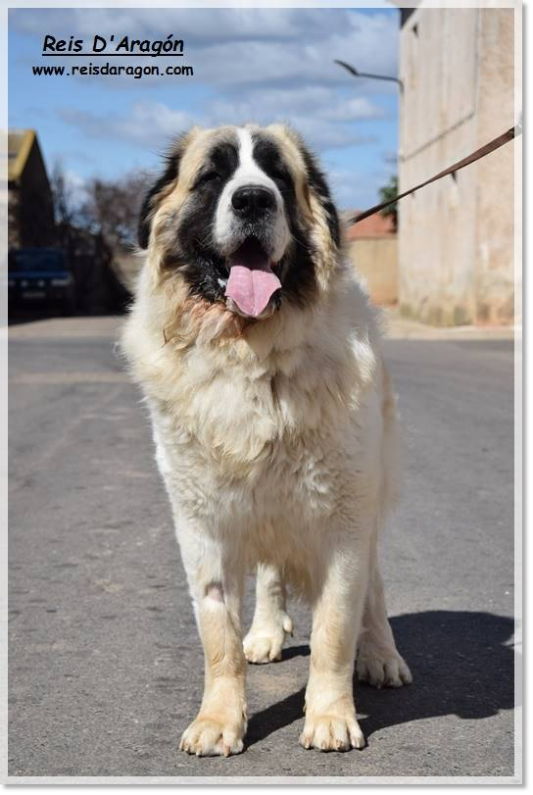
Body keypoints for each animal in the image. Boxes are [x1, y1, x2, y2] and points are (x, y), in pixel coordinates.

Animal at [121, 123, 412, 760]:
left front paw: (330, 716)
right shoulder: (203, 525)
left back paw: (381, 654)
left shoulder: (344, 520)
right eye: (212, 175)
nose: (253, 199)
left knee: (374, 589)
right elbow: (217, 633)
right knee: (272, 572)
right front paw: (218, 719)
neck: (251, 353)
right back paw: (265, 631)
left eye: (278, 175)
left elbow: (335, 629)